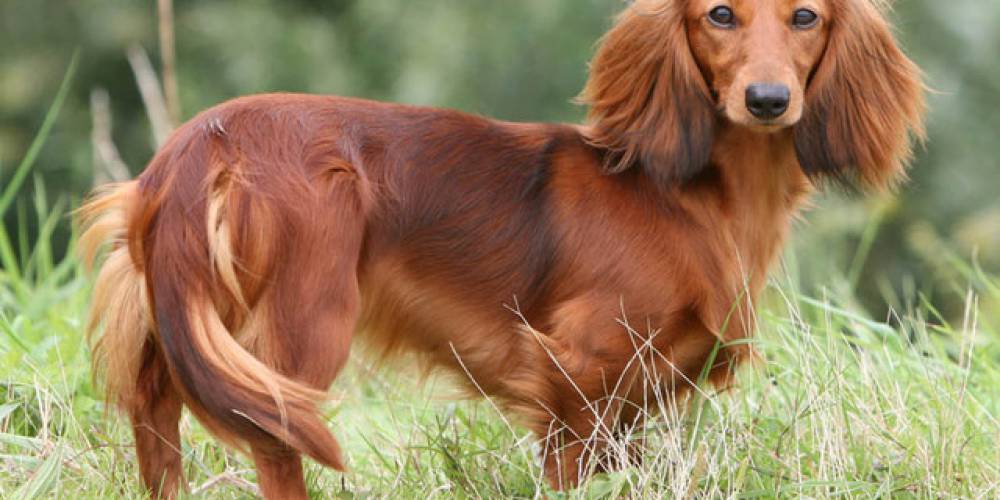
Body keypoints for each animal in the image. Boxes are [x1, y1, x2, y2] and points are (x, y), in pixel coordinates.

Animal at [80, 0, 928, 496]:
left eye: (805, 15)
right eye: (719, 12)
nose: (768, 101)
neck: (689, 197)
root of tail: (200, 145)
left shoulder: (631, 407)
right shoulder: (575, 376)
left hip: (175, 339)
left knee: (156, 425)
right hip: (299, 330)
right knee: (278, 445)